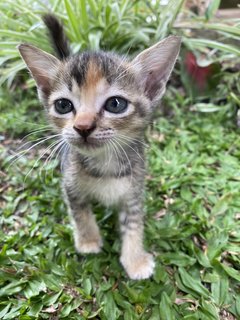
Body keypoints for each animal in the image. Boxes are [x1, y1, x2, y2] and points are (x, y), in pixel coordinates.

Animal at [18, 13, 180, 278]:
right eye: (63, 105)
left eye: (115, 104)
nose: (83, 127)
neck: (105, 164)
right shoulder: (70, 185)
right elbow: (80, 213)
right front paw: (89, 241)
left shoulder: (134, 191)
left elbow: (134, 223)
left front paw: (134, 260)